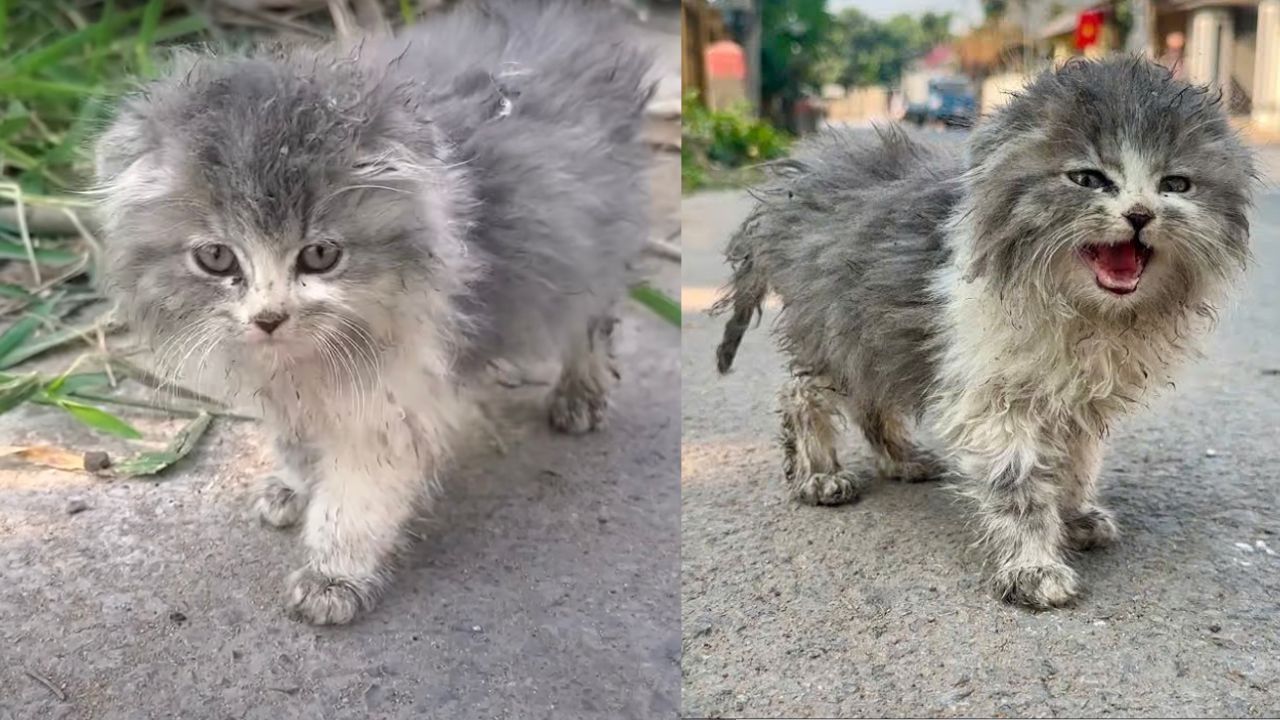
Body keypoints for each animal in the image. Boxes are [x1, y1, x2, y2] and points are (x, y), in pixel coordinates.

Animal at [92, 1, 650, 622]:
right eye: (216, 257)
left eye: (320, 255)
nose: (269, 317)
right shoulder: (287, 386)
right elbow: (294, 437)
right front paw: (295, 484)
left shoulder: (396, 402)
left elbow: (357, 498)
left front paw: (333, 575)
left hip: (596, 245)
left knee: (592, 318)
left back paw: (581, 390)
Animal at [716, 58, 1254, 604]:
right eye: (1088, 179)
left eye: (1176, 185)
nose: (1141, 214)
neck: (1082, 309)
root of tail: (796, 173)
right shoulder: (995, 401)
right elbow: (1019, 485)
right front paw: (1033, 565)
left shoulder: (1077, 403)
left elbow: (1076, 465)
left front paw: (1073, 516)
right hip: (832, 328)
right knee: (803, 394)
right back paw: (820, 474)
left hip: (867, 334)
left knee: (871, 398)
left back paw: (902, 459)